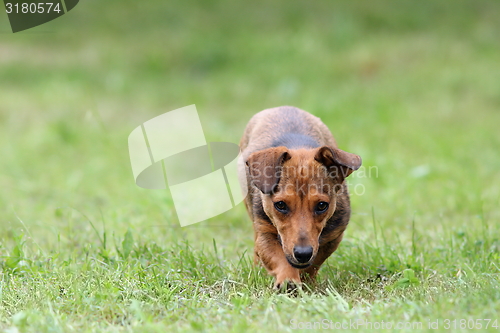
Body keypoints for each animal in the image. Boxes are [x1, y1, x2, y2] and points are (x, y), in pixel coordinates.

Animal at [236, 106, 362, 288]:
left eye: (322, 205)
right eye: (280, 205)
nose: (303, 254)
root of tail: (283, 107)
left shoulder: (333, 237)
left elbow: (314, 263)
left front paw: (306, 282)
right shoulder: (264, 233)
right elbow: (278, 258)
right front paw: (288, 280)